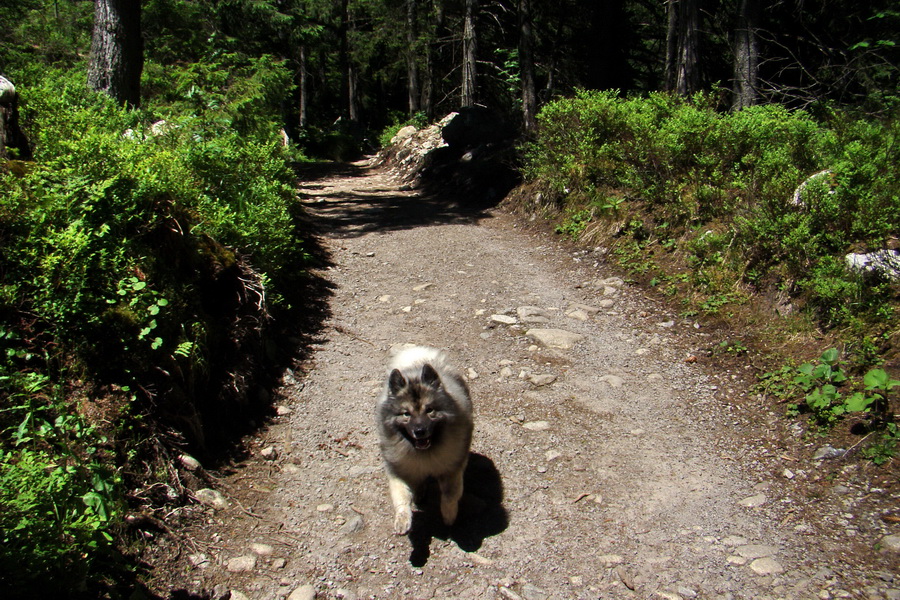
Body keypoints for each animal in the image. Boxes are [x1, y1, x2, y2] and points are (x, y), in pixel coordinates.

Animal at [374, 344, 474, 536]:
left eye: (430, 410)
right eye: (406, 414)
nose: (419, 431)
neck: (424, 452)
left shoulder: (452, 468)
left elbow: (450, 495)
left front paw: (449, 516)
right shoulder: (399, 469)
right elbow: (401, 496)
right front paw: (403, 519)